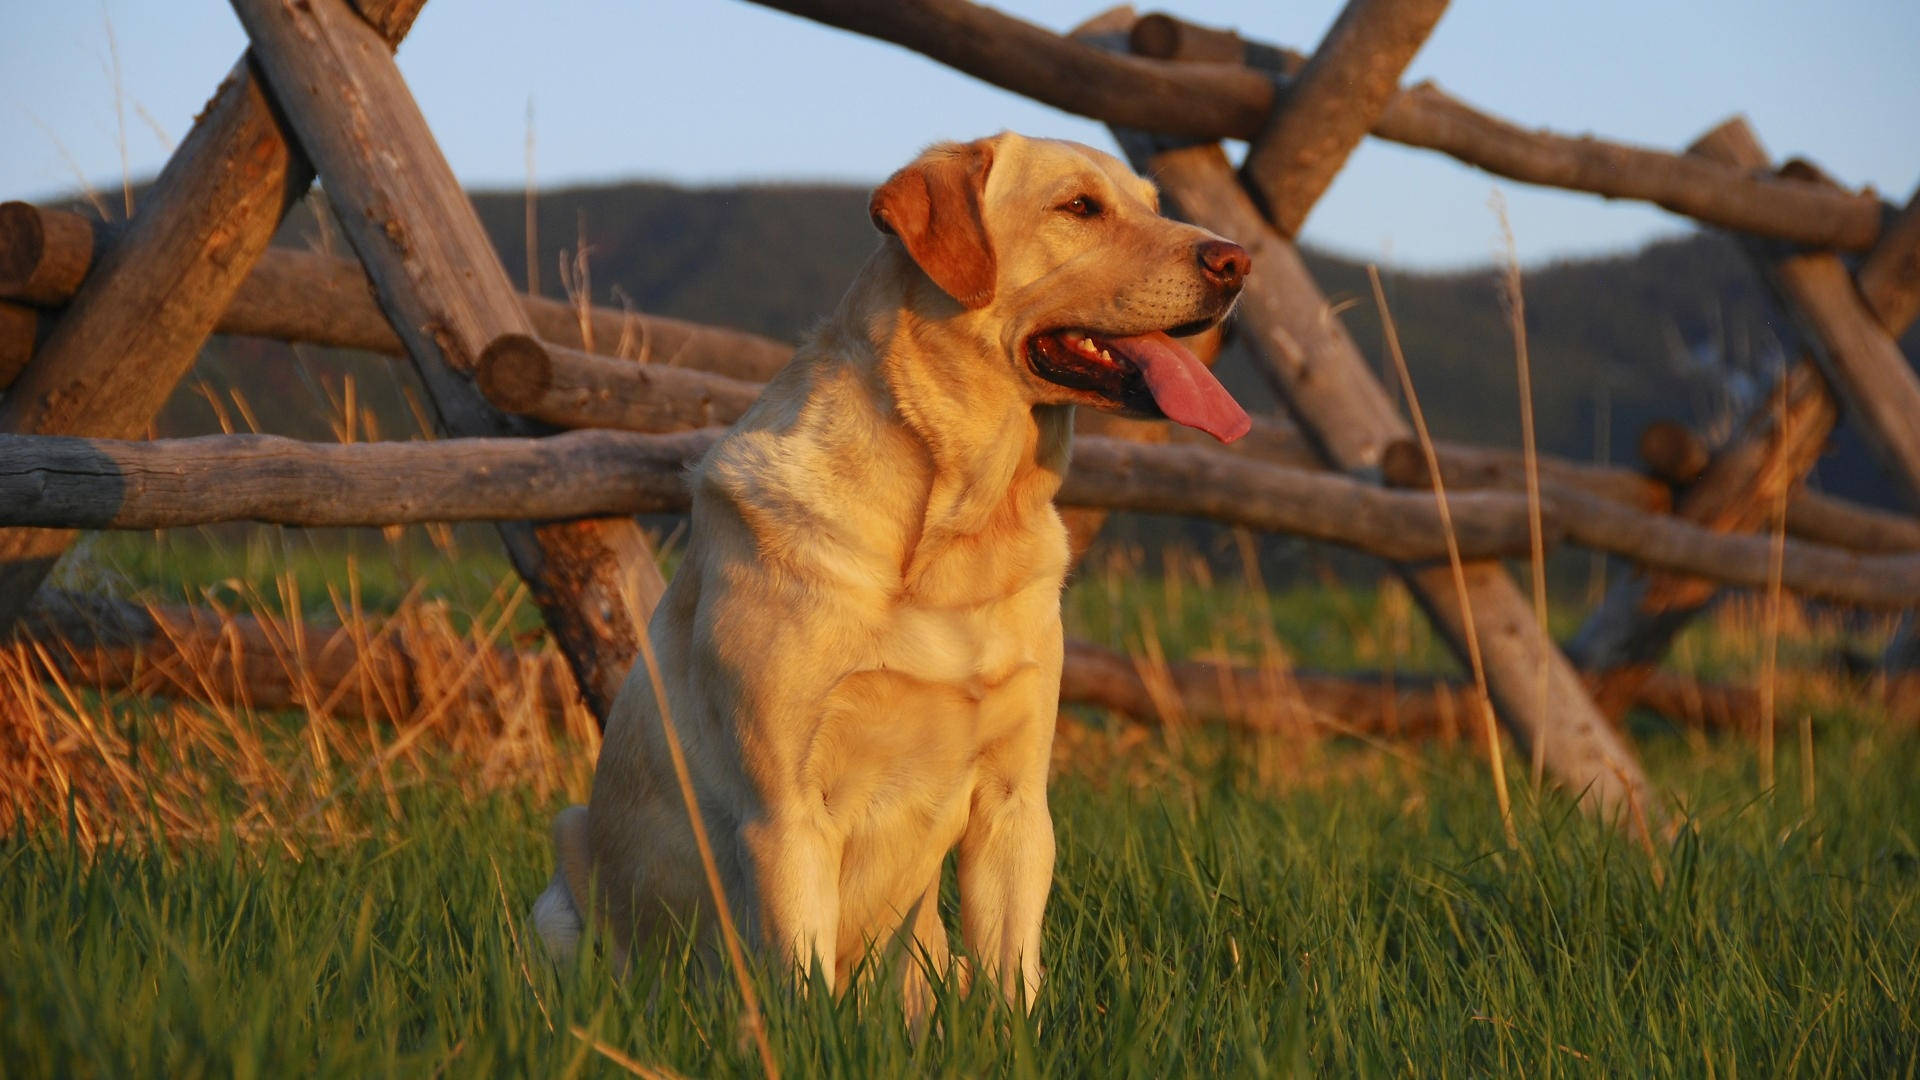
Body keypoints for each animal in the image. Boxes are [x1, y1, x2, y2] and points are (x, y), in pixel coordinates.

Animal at [533, 130, 1251, 1014]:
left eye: (1154, 205)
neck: (958, 526)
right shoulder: (786, 811)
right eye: (1079, 207)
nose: (1237, 261)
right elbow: (803, 988)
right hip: (563, 883)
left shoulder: (1015, 802)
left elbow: (1015, 984)